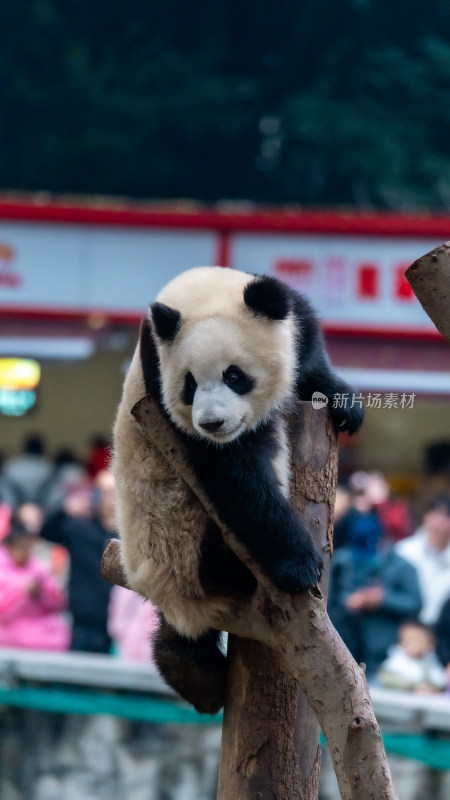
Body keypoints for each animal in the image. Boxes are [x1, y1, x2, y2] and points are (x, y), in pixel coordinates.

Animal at [112, 268, 362, 712]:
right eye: (190, 384)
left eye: (233, 375)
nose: (212, 423)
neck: (202, 290)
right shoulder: (160, 394)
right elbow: (237, 479)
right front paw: (299, 564)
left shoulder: (294, 325)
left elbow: (309, 364)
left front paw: (345, 403)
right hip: (190, 546)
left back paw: (190, 670)